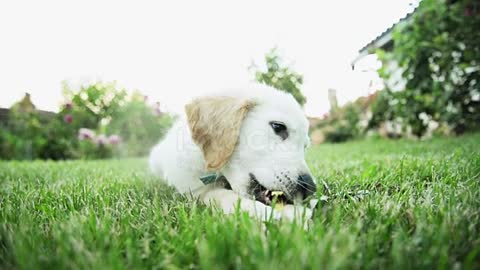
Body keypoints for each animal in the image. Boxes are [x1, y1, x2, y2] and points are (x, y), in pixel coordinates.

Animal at [148, 85, 316, 221]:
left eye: (305, 146)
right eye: (278, 126)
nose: (310, 188)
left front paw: (296, 211)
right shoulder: (193, 189)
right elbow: (220, 195)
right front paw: (258, 210)